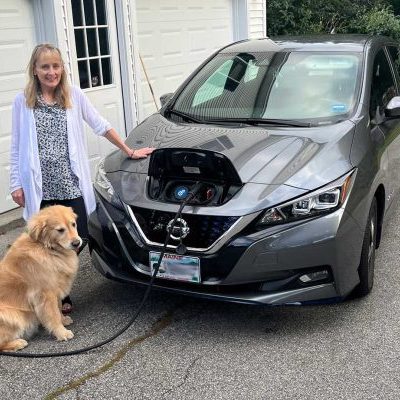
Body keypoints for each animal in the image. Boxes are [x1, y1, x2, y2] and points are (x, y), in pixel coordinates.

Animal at [0, 205, 81, 352]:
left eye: (73, 224)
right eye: (60, 230)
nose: (77, 243)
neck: (47, 248)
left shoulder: (55, 290)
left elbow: (58, 309)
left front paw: (63, 320)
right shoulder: (45, 294)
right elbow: (53, 315)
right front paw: (62, 333)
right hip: (14, 316)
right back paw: (18, 343)